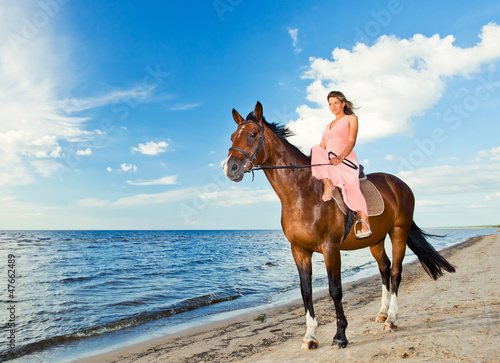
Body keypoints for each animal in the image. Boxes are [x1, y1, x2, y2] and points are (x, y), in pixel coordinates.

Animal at [225, 101, 456, 352]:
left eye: (252, 134)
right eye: (232, 137)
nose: (230, 168)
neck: (304, 194)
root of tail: (400, 184)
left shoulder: (330, 249)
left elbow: (335, 290)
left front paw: (340, 336)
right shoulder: (299, 250)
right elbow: (306, 291)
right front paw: (310, 336)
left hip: (399, 232)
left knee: (395, 271)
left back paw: (392, 319)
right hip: (376, 239)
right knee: (384, 268)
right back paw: (382, 313)